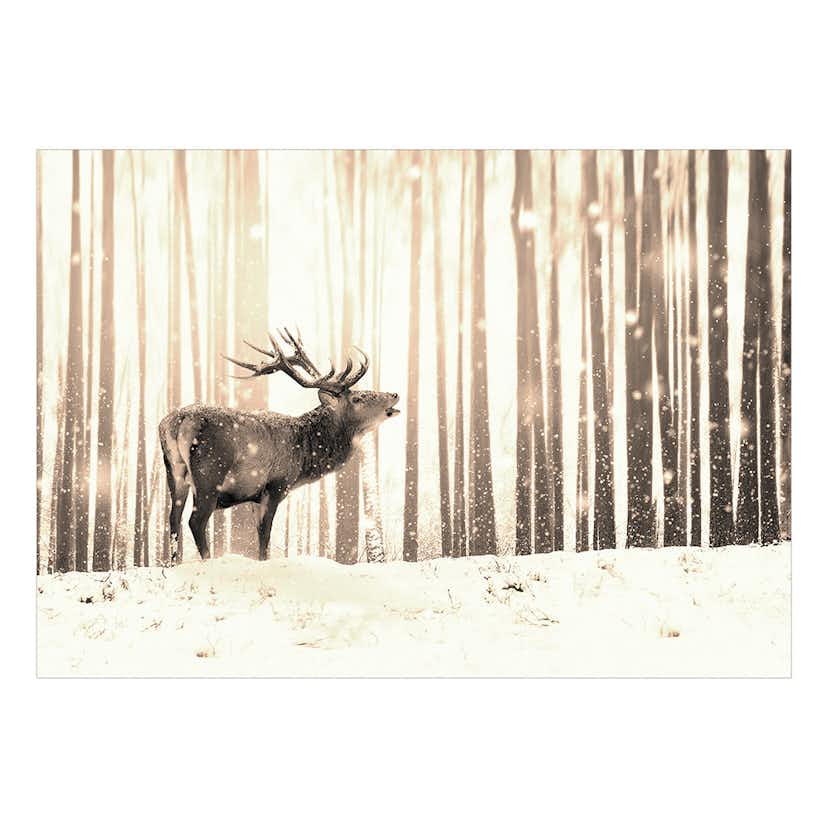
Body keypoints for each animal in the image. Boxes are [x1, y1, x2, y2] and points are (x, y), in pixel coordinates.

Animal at [158, 328, 400, 563]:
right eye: (357, 398)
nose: (394, 394)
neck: (304, 455)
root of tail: (178, 422)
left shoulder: (254, 496)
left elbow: (259, 536)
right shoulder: (276, 484)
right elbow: (265, 536)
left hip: (174, 472)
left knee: (173, 519)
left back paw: (173, 563)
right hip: (210, 473)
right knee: (196, 521)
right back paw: (207, 561)